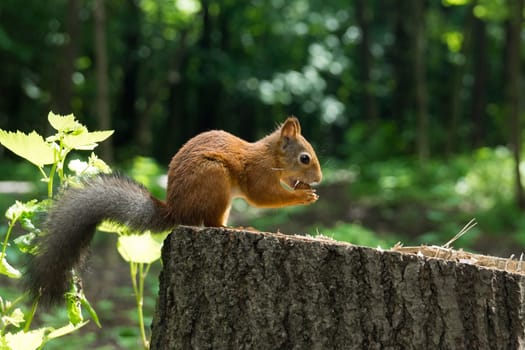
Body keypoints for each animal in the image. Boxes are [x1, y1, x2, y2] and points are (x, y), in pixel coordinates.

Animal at [25, 117, 324, 306]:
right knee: (211, 222)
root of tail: (176, 212)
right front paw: (303, 195)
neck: (271, 156)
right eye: (304, 158)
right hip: (214, 178)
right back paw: (235, 227)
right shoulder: (258, 175)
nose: (319, 179)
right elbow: (263, 197)